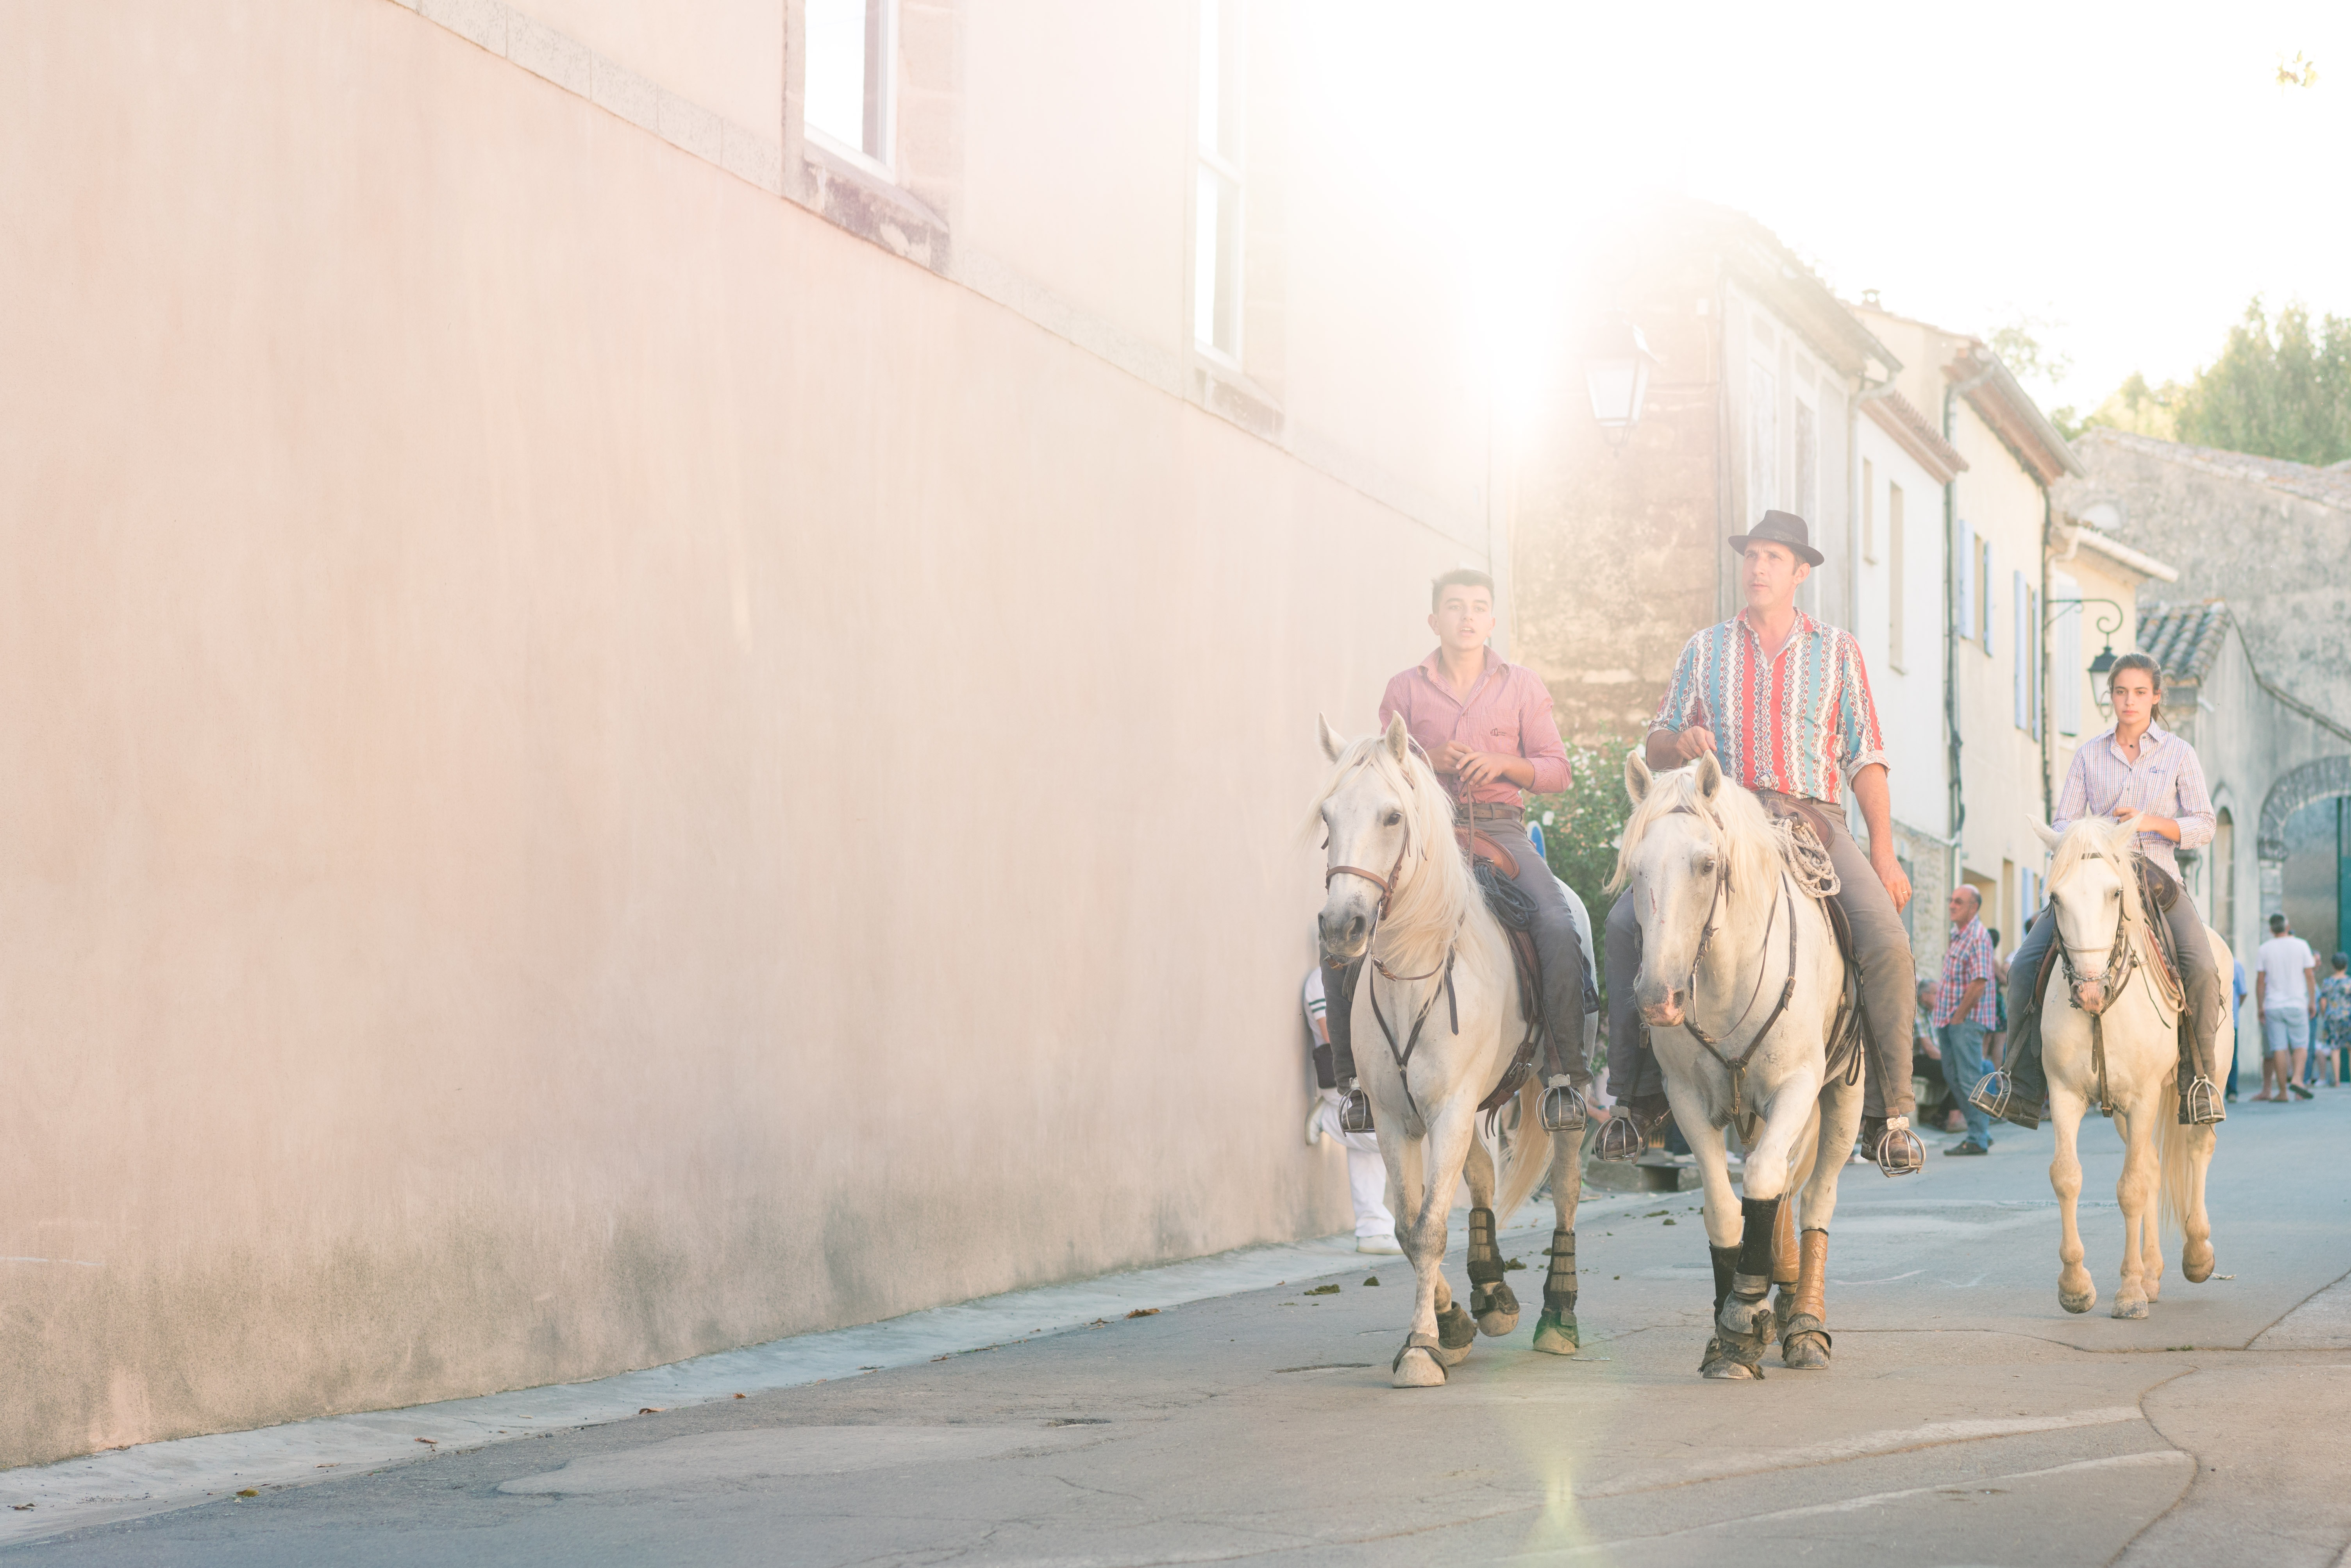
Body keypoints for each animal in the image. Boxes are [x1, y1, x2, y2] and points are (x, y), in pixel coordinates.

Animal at [1317, 719, 1589, 1391]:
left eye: (1392, 816)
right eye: (1327, 816)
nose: (1341, 927)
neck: (1413, 971)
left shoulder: (1448, 1109)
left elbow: (1432, 1225)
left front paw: (1420, 1348)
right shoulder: (1397, 1119)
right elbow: (1409, 1226)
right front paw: (1448, 1324)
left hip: (1558, 1094)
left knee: (1565, 1187)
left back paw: (1557, 1315)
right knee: (1482, 1177)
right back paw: (1491, 1295)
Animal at [1608, 752, 1862, 1382]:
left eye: (1706, 864)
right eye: (1635, 867)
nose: (1658, 999)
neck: (1729, 978)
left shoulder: (1796, 1087)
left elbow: (1767, 1182)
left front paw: (1747, 1310)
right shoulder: (1688, 1100)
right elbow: (1725, 1208)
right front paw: (1728, 1337)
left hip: (1844, 1099)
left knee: (1813, 1198)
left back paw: (1805, 1324)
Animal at [2022, 818, 2219, 1316]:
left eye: (2115, 893)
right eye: (2055, 898)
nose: (2090, 992)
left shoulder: (2144, 1095)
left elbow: (2130, 1188)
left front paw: (2129, 1292)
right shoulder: (2067, 1094)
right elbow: (2068, 1177)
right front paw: (2076, 1286)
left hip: (2204, 1080)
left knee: (2198, 1147)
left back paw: (2197, 1255)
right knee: (2150, 1164)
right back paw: (2152, 1272)